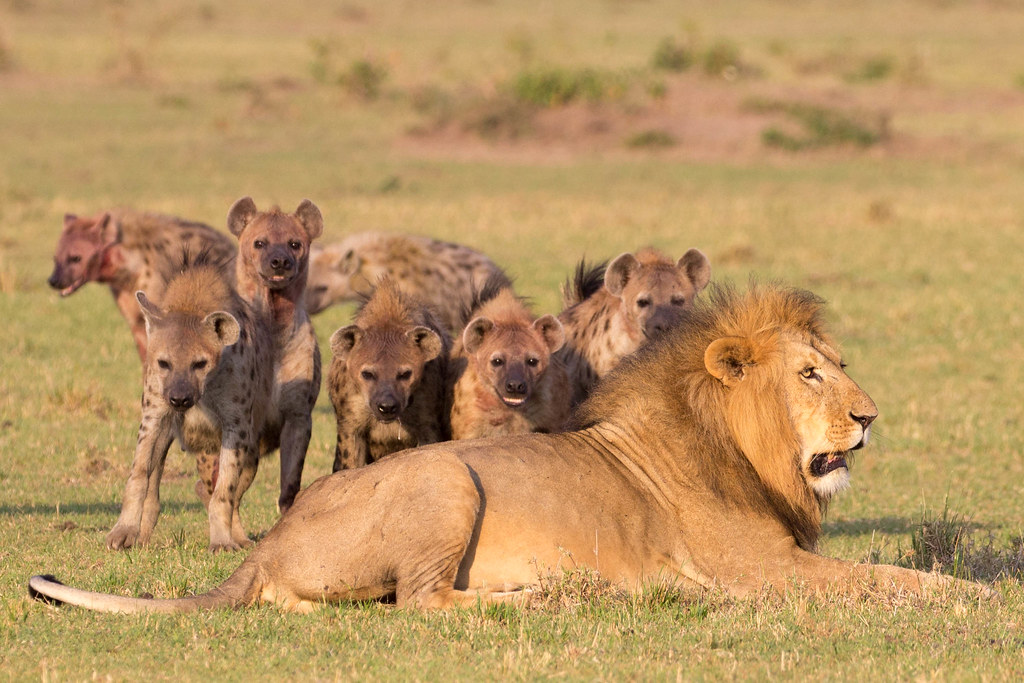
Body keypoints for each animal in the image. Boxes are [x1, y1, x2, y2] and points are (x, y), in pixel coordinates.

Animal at [28, 283, 989, 613]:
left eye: (839, 365)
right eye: (811, 374)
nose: (870, 417)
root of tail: (266, 544)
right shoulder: (762, 570)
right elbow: (888, 577)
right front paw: (976, 597)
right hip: (449, 479)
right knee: (420, 602)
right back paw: (535, 597)